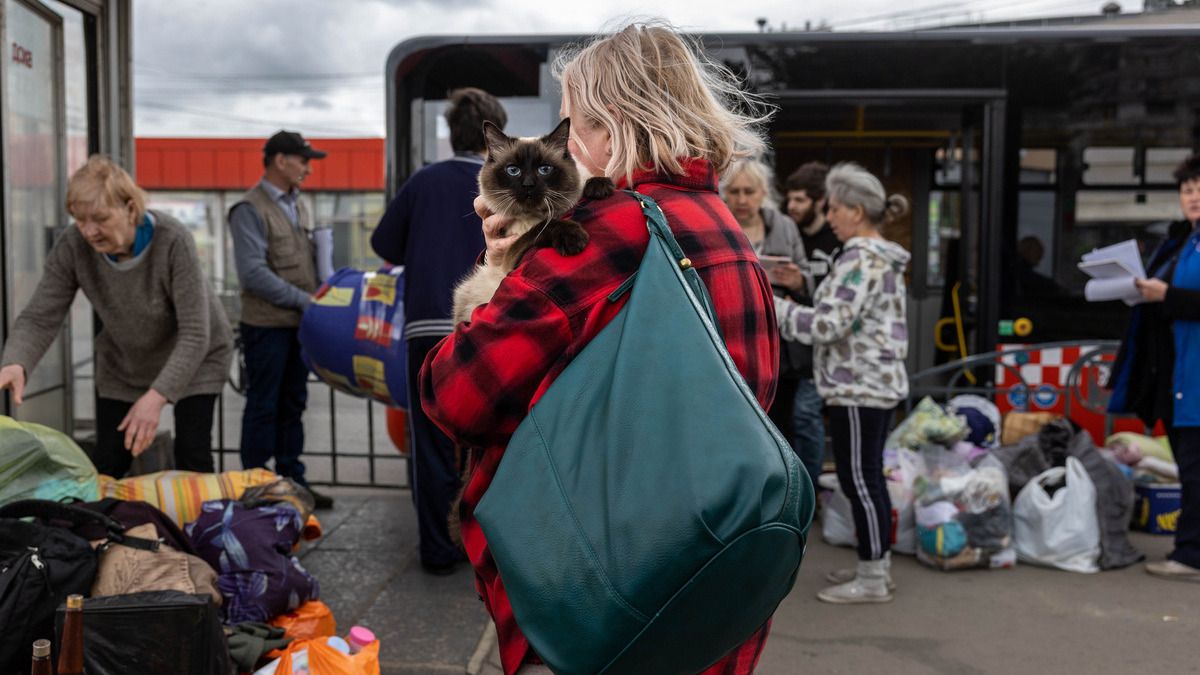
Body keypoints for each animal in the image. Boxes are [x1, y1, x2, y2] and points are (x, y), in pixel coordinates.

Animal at [451, 117, 614, 324]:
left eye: (544, 169)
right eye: (513, 170)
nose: (528, 185)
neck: (535, 215)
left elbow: (588, 179)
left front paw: (600, 187)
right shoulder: (508, 259)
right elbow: (543, 227)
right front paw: (574, 238)